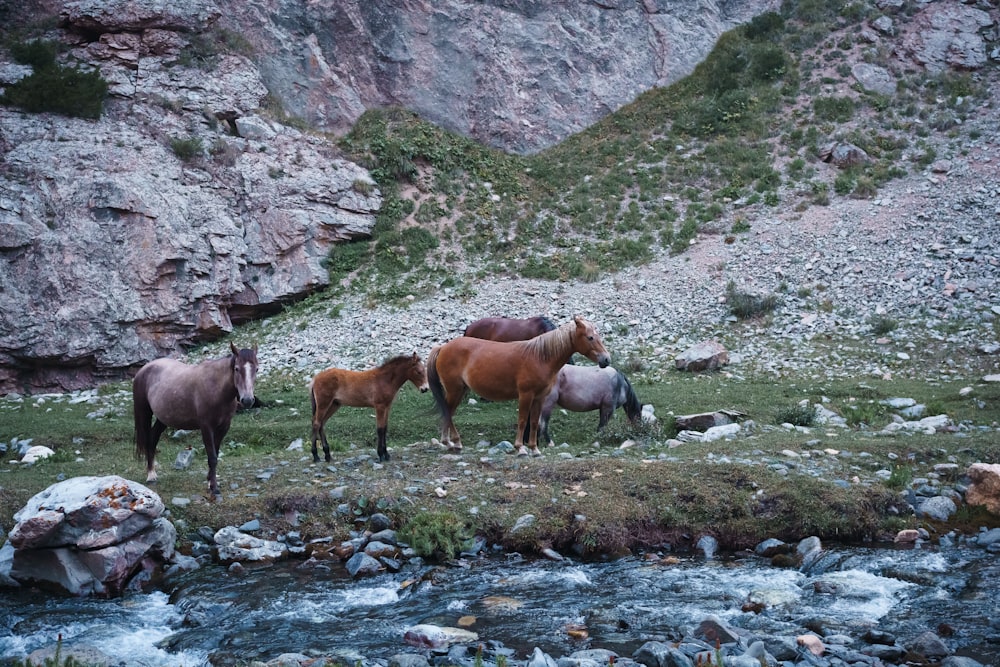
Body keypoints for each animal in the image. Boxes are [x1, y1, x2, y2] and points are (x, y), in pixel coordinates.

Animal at [133, 348, 258, 498]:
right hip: (144, 412)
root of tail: (144, 369)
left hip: (163, 418)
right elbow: (212, 457)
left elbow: (215, 453)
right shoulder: (206, 427)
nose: (247, 400)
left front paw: (210, 482)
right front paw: (214, 488)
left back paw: (152, 473)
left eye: (256, 369)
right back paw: (150, 475)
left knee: (153, 439)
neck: (216, 388)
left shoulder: (224, 427)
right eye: (237, 369)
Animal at [424, 316, 608, 456]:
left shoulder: (539, 397)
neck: (540, 357)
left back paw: (451, 442)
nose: (606, 360)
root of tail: (443, 347)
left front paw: (534, 449)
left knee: (448, 413)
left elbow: (534, 422)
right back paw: (451, 442)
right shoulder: (526, 395)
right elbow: (522, 420)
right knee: (447, 413)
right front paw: (520, 448)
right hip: (454, 390)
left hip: (459, 391)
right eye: (590, 337)